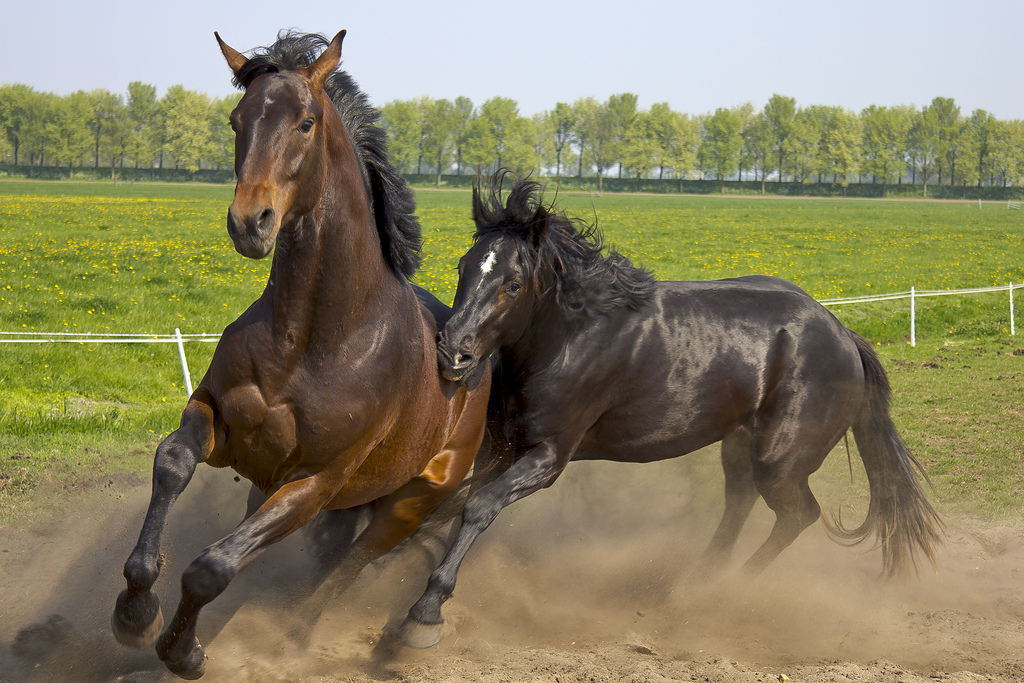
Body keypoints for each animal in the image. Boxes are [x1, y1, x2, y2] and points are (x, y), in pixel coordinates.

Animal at [110, 30, 489, 679]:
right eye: (236, 119)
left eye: (306, 123)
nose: (250, 222)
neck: (312, 339)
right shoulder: (221, 424)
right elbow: (173, 463)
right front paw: (135, 614)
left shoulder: (314, 483)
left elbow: (212, 567)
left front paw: (184, 651)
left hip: (410, 502)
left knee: (346, 572)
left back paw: (312, 637)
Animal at [397, 179, 942, 651]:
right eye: (464, 265)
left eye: (512, 283)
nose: (452, 353)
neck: (567, 340)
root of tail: (844, 334)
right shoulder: (499, 447)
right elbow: (446, 504)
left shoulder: (548, 457)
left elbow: (478, 506)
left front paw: (424, 612)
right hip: (739, 444)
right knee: (739, 503)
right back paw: (691, 585)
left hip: (780, 461)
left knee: (797, 515)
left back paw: (718, 594)